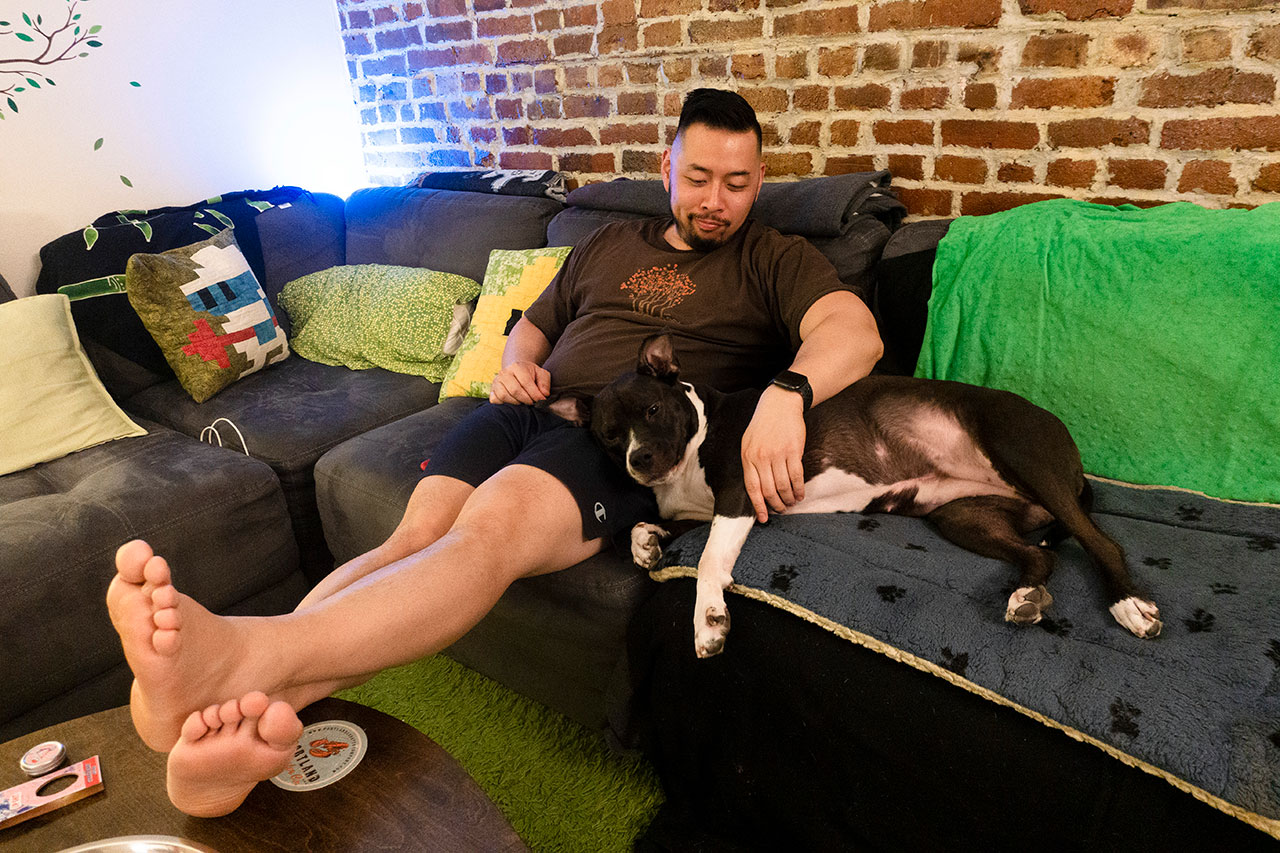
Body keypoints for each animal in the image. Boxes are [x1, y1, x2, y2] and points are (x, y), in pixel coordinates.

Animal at [576, 333, 1167, 655]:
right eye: (608, 436)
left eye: (653, 410)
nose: (638, 461)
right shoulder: (709, 510)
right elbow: (648, 525)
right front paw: (646, 544)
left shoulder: (739, 500)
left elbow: (706, 564)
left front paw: (709, 622)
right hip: (963, 518)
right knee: (1038, 556)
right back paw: (1025, 596)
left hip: (1021, 450)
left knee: (1102, 543)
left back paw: (1128, 606)